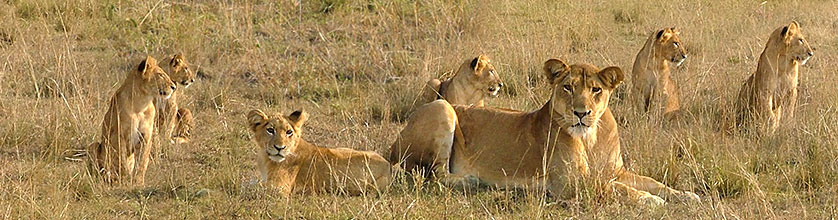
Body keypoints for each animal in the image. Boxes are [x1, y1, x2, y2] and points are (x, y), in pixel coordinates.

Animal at [88, 55, 177, 185]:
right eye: (160, 75)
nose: (174, 87)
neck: (141, 103)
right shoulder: (119, 135)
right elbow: (122, 160)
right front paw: (125, 180)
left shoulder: (146, 136)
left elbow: (142, 162)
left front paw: (138, 182)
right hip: (93, 146)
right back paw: (109, 177)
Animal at [246, 109, 394, 195]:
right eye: (270, 130)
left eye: (289, 132)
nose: (280, 148)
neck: (265, 158)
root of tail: (387, 164)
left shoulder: (279, 188)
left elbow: (251, 187)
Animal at [394, 58, 704, 206]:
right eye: (567, 87)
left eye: (596, 90)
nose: (581, 113)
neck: (590, 138)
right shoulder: (570, 183)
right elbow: (616, 189)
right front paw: (650, 201)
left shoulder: (614, 171)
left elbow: (652, 181)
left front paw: (685, 195)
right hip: (442, 106)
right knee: (433, 174)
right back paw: (470, 181)